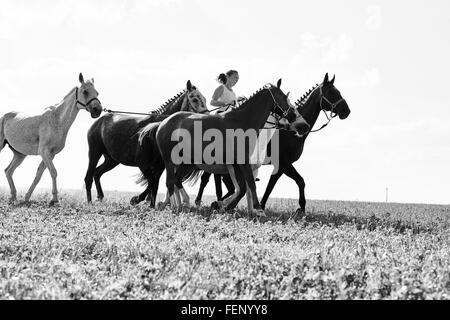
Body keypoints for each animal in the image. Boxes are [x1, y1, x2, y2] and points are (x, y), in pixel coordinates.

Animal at [0, 73, 102, 205]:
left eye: (97, 93)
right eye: (85, 91)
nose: (98, 110)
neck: (57, 119)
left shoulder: (51, 154)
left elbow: (39, 175)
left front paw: (27, 197)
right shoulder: (44, 152)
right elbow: (53, 172)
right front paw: (54, 199)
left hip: (19, 154)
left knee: (8, 171)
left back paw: (13, 197)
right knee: (8, 171)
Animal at [151, 79, 310, 216]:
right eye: (284, 97)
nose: (302, 125)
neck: (241, 122)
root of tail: (163, 123)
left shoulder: (236, 164)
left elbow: (242, 188)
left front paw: (226, 207)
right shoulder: (243, 162)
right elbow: (250, 184)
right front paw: (258, 209)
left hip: (188, 163)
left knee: (176, 180)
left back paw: (182, 204)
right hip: (170, 161)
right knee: (170, 182)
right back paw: (174, 207)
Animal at [193, 74, 352, 214]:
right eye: (332, 92)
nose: (347, 111)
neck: (289, 131)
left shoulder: (281, 166)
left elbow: (273, 183)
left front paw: (261, 205)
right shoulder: (284, 163)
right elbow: (299, 181)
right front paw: (301, 207)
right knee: (207, 179)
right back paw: (204, 201)